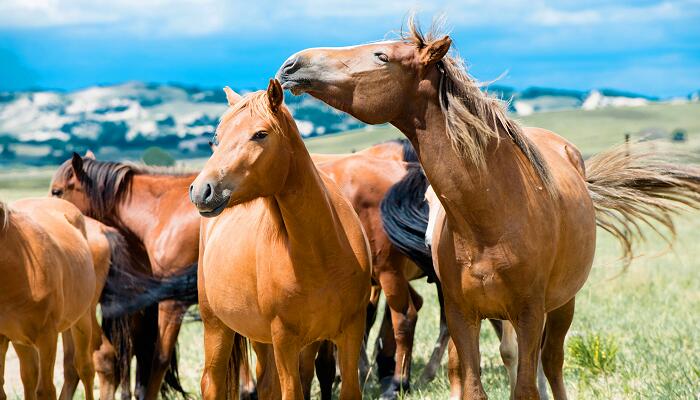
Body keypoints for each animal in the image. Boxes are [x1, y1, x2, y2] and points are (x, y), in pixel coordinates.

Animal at [0, 198, 96, 399]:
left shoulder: (47, 336)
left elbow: (46, 390)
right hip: (20, 340)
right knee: (29, 377)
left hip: (82, 320)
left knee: (85, 369)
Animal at [189, 79, 372, 400]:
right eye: (217, 138)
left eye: (260, 134)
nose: (202, 190)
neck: (321, 253)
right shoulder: (284, 339)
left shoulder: (350, 331)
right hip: (216, 326)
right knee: (212, 382)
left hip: (262, 338)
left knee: (266, 384)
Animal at [276, 16, 700, 399]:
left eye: (381, 56)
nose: (292, 64)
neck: (492, 217)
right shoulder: (463, 315)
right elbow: (472, 384)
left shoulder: (528, 314)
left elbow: (526, 387)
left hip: (562, 305)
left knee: (552, 364)